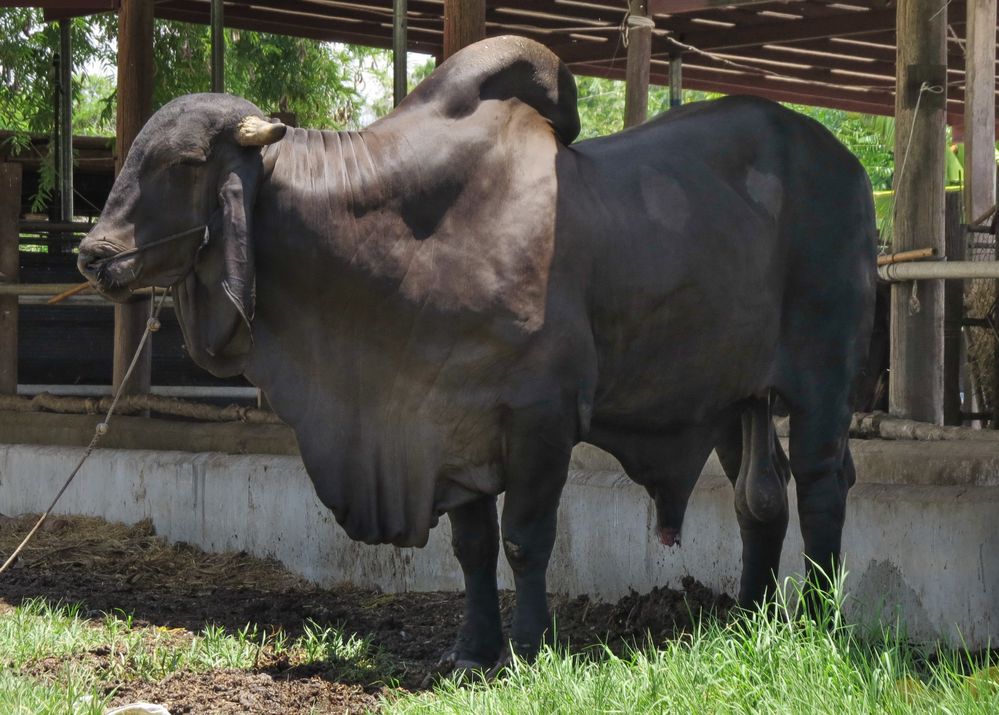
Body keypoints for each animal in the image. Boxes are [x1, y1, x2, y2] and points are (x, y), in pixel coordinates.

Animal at [78, 33, 876, 672]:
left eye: (184, 161)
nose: (93, 254)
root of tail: (844, 162)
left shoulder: (538, 417)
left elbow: (524, 540)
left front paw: (526, 647)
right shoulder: (447, 424)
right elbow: (472, 549)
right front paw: (472, 649)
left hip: (823, 378)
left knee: (823, 484)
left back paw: (817, 620)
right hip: (736, 398)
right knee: (760, 500)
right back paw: (749, 618)